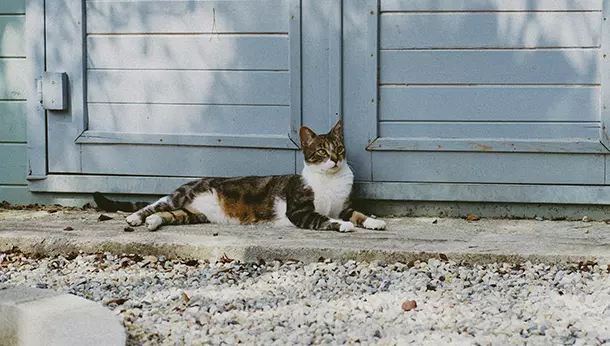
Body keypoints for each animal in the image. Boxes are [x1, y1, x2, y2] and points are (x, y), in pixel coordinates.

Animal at [93, 119, 384, 232]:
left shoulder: (343, 205)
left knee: (170, 215)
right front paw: (342, 225)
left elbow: (357, 213)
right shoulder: (300, 210)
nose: (335, 159)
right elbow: (322, 218)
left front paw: (373, 221)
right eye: (322, 151)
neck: (330, 180)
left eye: (339, 148)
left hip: (194, 214)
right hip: (181, 194)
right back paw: (136, 217)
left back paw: (154, 222)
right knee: (154, 204)